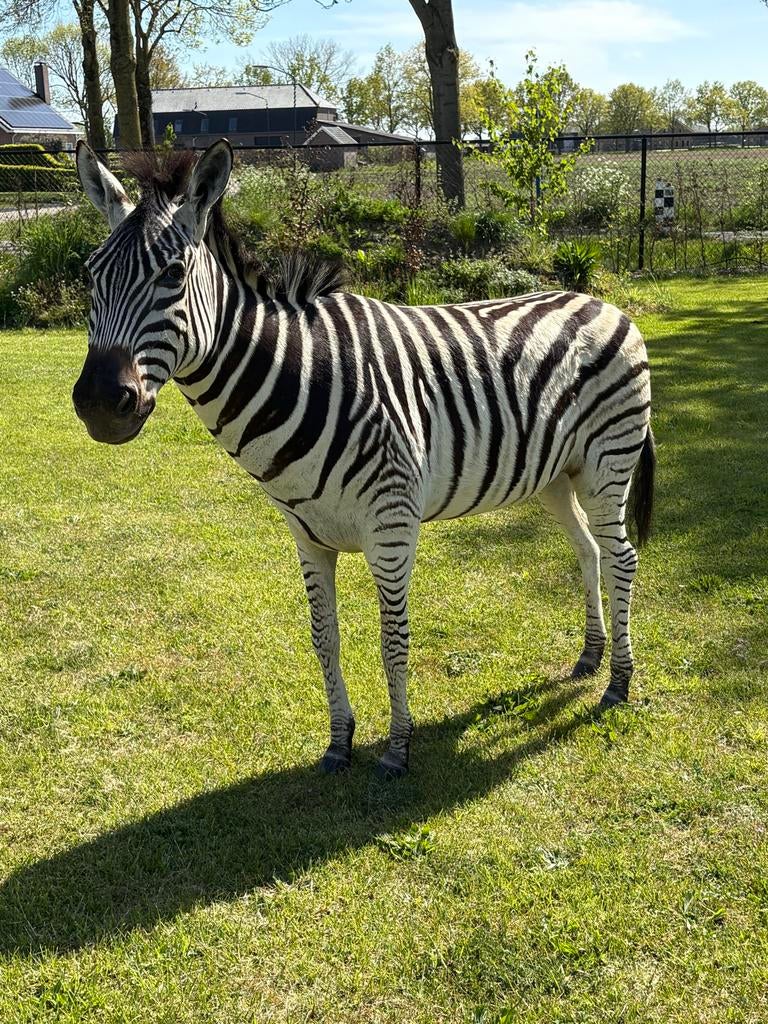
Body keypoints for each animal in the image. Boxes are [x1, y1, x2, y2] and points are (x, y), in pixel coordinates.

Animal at [72, 141, 655, 779]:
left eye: (173, 275)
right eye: (90, 275)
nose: (99, 402)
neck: (299, 379)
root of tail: (603, 302)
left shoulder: (391, 526)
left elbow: (391, 640)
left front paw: (398, 748)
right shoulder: (308, 536)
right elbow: (323, 637)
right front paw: (339, 742)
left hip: (607, 465)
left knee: (621, 557)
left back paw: (619, 683)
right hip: (555, 473)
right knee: (589, 551)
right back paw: (590, 657)